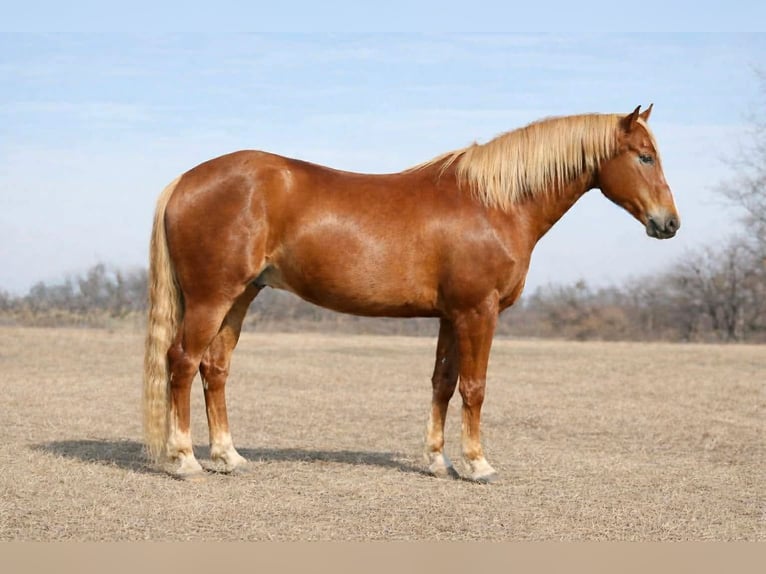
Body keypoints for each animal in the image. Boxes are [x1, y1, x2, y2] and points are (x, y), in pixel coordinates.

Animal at [143, 105, 679, 482]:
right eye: (644, 156)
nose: (669, 224)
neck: (494, 204)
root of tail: (184, 181)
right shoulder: (478, 311)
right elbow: (474, 386)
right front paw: (477, 464)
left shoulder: (450, 315)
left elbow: (443, 382)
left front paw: (437, 460)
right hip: (212, 298)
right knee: (182, 362)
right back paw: (184, 459)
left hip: (240, 298)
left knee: (214, 369)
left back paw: (228, 457)